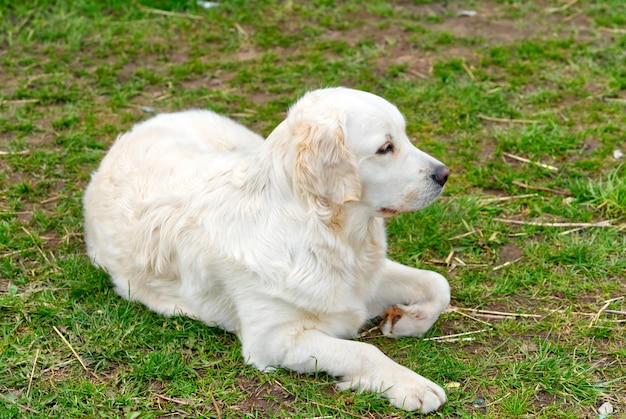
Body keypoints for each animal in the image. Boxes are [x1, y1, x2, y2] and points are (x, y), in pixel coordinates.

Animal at [85, 88, 450, 414]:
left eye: (404, 136)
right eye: (386, 148)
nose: (444, 174)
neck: (326, 231)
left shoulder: (366, 280)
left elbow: (438, 284)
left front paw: (406, 321)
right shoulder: (274, 340)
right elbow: (364, 351)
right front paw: (413, 386)